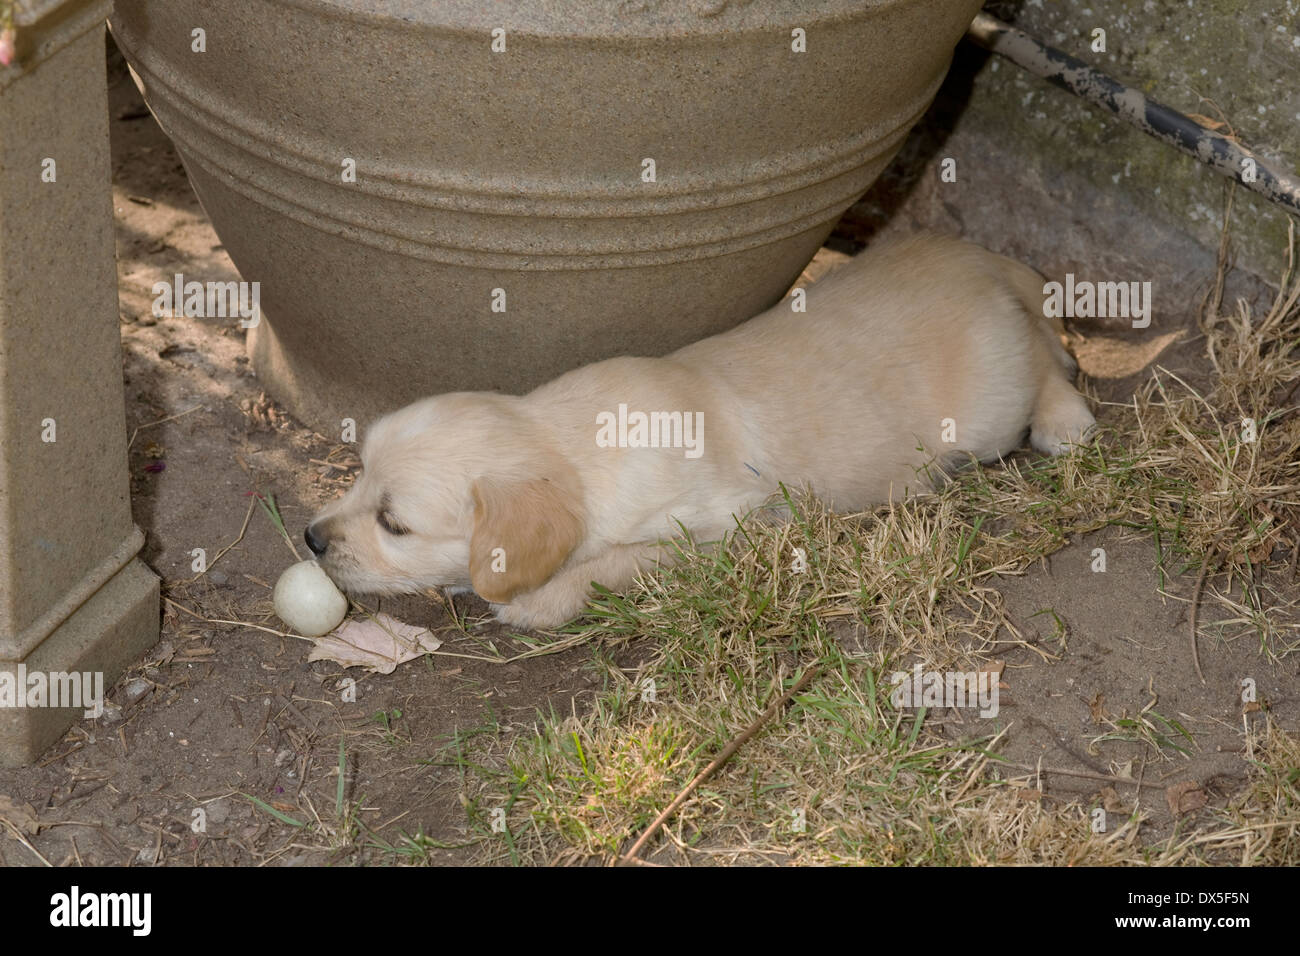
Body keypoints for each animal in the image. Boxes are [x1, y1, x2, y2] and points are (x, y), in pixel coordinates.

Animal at [306, 234, 1097, 629]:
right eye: (360, 473)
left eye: (393, 523)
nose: (311, 538)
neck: (566, 436)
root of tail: (975, 256)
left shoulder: (729, 526)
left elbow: (617, 561)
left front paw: (537, 599)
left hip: (990, 403)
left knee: (1045, 356)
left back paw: (1067, 420)